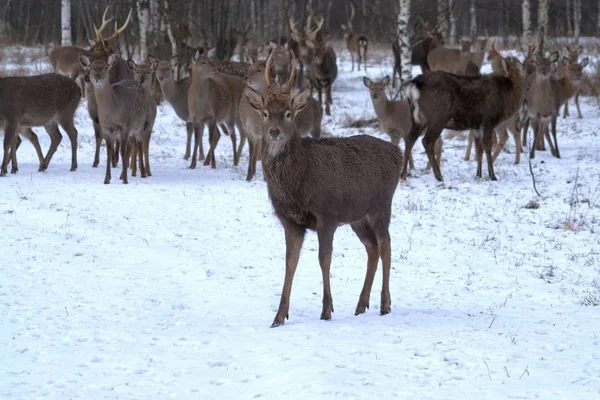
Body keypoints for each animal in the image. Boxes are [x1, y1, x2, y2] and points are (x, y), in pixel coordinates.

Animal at [79, 53, 152, 184]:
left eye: (105, 67)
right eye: (91, 67)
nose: (97, 77)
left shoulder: (125, 126)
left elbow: (123, 151)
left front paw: (125, 180)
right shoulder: (107, 128)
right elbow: (109, 151)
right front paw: (107, 179)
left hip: (139, 123)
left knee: (139, 143)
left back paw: (142, 173)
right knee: (132, 144)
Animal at [243, 51, 404, 328]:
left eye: (288, 113)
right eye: (264, 113)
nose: (274, 132)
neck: (298, 182)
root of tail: (399, 153)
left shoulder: (326, 214)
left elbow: (323, 258)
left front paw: (327, 309)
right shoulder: (290, 222)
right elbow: (290, 262)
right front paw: (279, 316)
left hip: (382, 204)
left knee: (386, 245)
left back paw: (385, 304)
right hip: (357, 216)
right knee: (372, 247)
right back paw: (361, 305)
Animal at [404, 53, 524, 181]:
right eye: (519, 65)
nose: (524, 66)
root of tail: (415, 84)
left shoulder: (476, 126)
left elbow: (479, 149)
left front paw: (478, 174)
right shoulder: (488, 120)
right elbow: (487, 146)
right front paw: (492, 175)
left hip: (418, 119)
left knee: (410, 139)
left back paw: (403, 175)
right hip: (437, 117)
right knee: (427, 141)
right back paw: (439, 176)